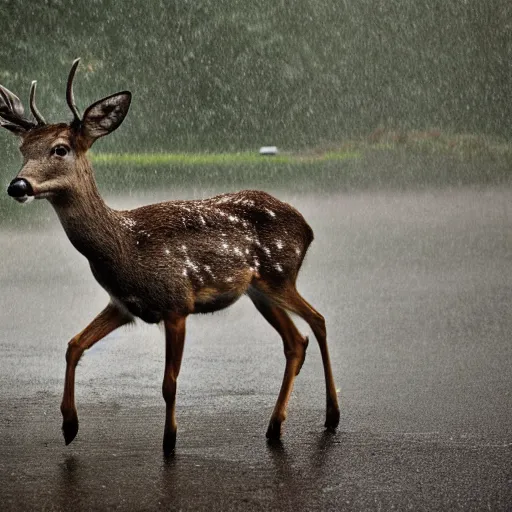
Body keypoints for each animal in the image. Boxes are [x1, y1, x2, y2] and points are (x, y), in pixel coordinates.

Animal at [4, 61, 342, 456]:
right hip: (258, 290)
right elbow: (73, 345)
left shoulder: (176, 302)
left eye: (60, 149)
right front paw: (69, 426)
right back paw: (274, 426)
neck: (126, 246)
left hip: (279, 273)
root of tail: (308, 228)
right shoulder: (124, 304)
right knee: (295, 341)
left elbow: (169, 382)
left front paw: (170, 441)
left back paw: (332, 415)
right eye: (23, 149)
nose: (17, 185)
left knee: (318, 320)